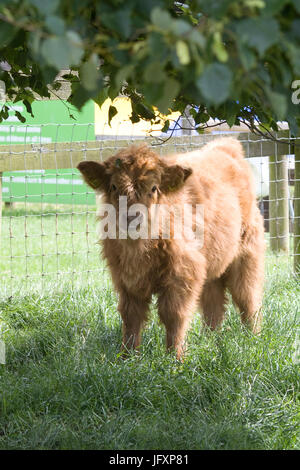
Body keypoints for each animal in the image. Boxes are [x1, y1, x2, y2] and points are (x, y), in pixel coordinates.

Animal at [78, 138, 264, 358]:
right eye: (114, 186)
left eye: (153, 188)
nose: (132, 217)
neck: (139, 249)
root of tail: (225, 146)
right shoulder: (126, 279)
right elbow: (130, 316)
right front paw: (127, 356)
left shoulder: (182, 273)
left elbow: (173, 314)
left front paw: (175, 357)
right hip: (211, 264)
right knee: (214, 302)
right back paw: (210, 339)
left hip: (247, 254)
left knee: (248, 297)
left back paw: (252, 338)